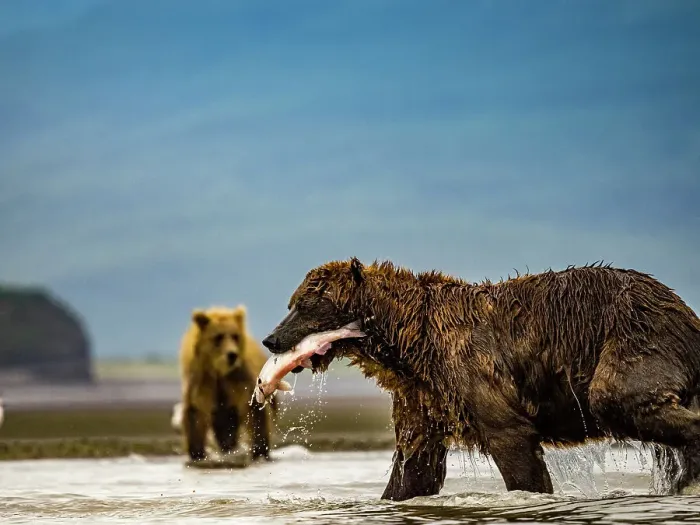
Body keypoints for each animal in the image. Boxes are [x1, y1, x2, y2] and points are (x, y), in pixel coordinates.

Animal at [179, 305, 276, 462]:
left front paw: (260, 451)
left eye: (235, 336)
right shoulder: (202, 382)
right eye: (218, 336)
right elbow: (196, 413)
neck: (219, 371)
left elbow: (254, 412)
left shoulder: (238, 380)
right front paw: (197, 453)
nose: (232, 355)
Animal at [260, 257, 700, 501]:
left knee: (616, 397)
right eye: (293, 302)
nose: (271, 339)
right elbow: (414, 467)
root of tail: (685, 310)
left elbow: (513, 442)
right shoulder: (425, 396)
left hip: (633, 334)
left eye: (309, 303)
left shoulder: (470, 369)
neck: (408, 343)